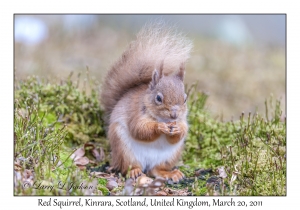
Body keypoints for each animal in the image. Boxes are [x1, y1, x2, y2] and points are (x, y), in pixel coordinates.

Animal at [101, 23, 192, 182]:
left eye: (185, 99)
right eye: (158, 98)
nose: (174, 115)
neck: (163, 118)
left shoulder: (182, 120)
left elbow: (182, 131)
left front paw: (178, 129)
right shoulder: (136, 113)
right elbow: (139, 129)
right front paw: (159, 127)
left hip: (170, 156)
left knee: (156, 170)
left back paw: (170, 174)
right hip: (123, 148)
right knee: (129, 166)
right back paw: (136, 173)